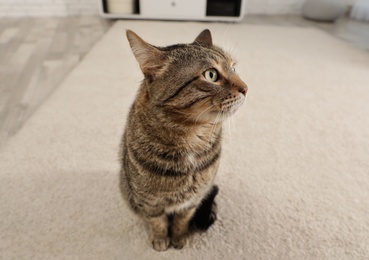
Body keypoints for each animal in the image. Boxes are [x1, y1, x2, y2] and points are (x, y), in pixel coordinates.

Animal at [120, 29, 247, 252]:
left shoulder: (193, 200)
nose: (246, 88)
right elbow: (157, 222)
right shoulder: (148, 200)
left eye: (233, 68)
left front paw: (179, 237)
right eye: (211, 75)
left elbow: (182, 219)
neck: (191, 138)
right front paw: (161, 240)